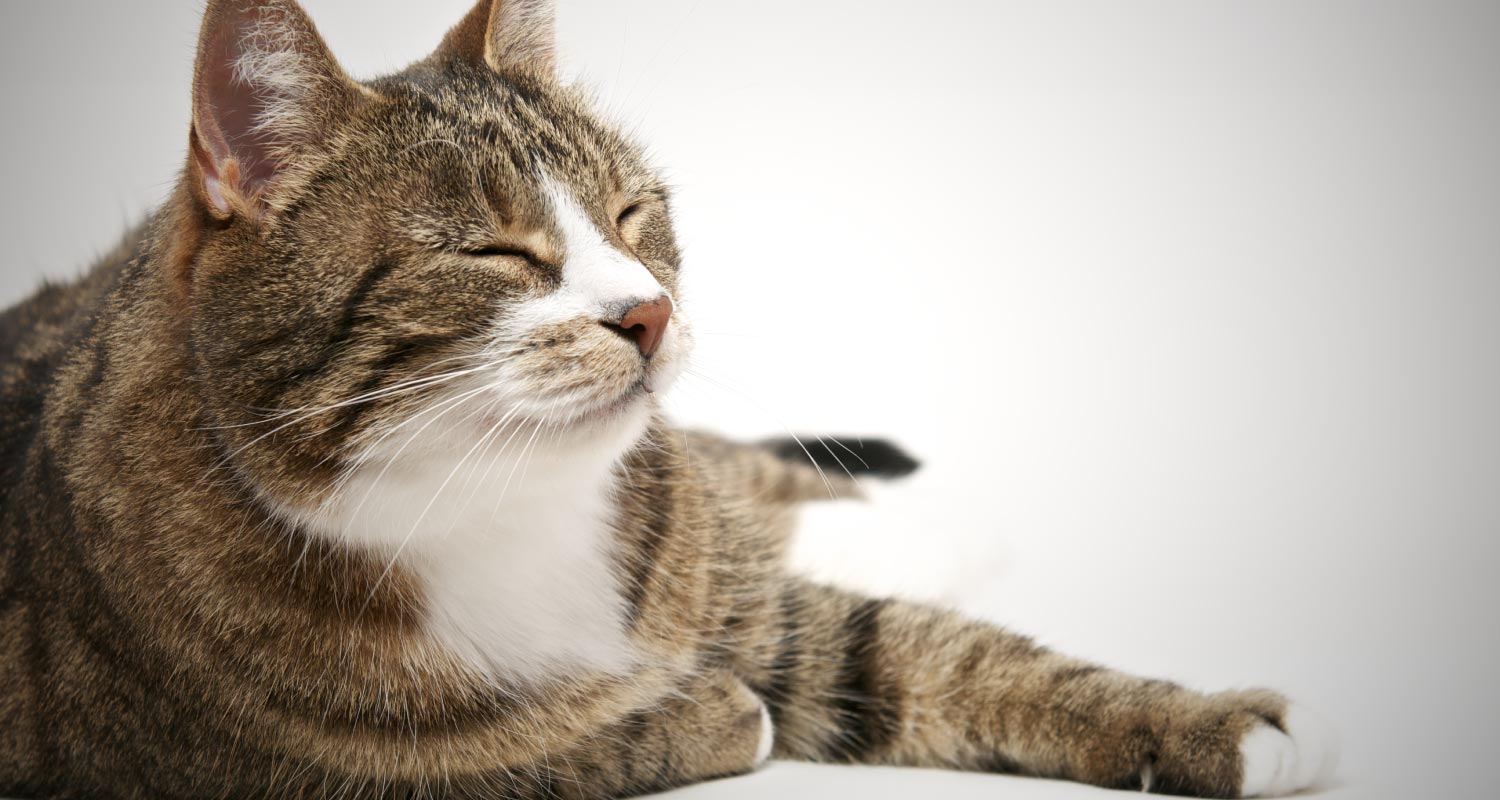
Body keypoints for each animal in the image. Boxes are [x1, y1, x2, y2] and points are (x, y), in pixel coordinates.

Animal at [0, 1, 1338, 798]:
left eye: (632, 214)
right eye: (498, 253)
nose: (645, 310)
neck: (496, 503)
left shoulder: (710, 568)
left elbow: (924, 648)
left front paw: (1210, 723)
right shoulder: (254, 765)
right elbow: (557, 745)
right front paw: (700, 712)